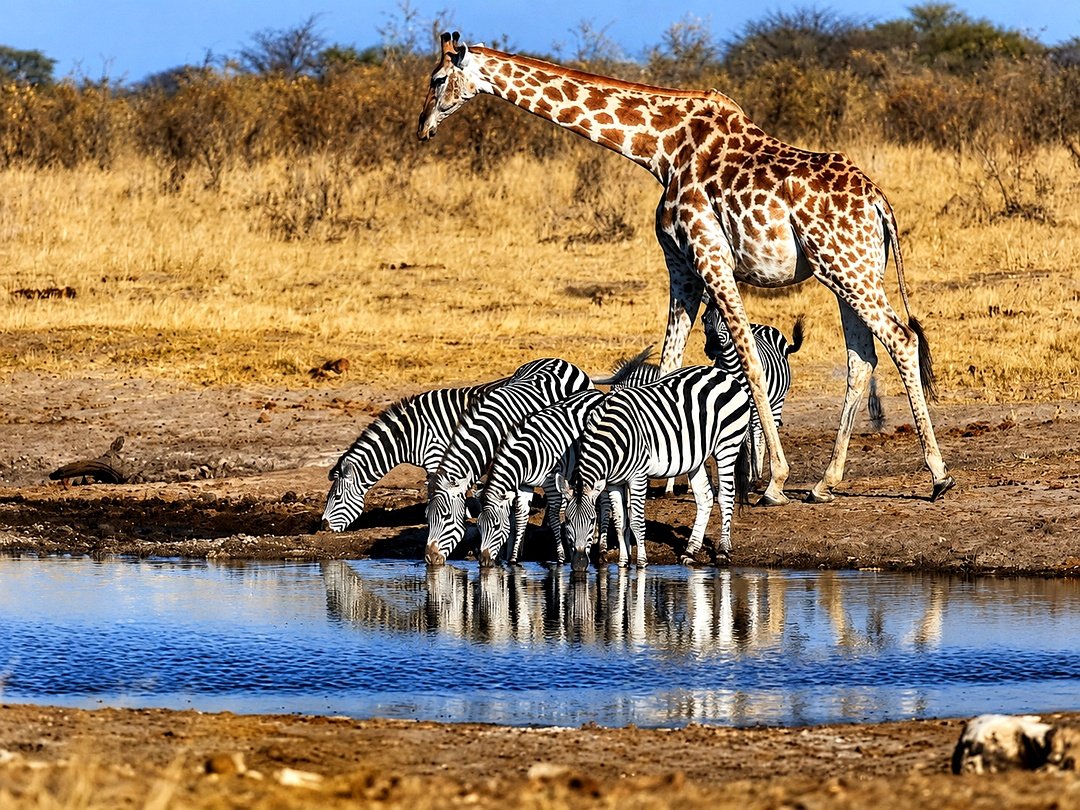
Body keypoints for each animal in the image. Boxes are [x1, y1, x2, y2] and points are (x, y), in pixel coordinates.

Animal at [476, 388, 606, 568]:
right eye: (478, 526)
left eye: (496, 526)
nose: (483, 562)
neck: (526, 456)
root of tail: (596, 392)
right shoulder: (524, 485)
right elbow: (521, 518)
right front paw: (514, 559)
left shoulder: (551, 482)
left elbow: (554, 517)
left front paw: (560, 558)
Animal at [556, 365, 752, 571]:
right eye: (567, 520)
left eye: (593, 520)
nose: (578, 565)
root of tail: (724, 374)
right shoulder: (613, 482)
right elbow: (619, 522)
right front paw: (623, 563)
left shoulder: (638, 476)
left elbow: (636, 522)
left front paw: (641, 562)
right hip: (696, 459)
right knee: (705, 497)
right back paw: (690, 551)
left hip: (728, 445)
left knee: (726, 496)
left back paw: (723, 552)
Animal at [702, 304, 805, 481]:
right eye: (704, 319)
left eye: (724, 321)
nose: (712, 349)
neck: (731, 364)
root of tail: (761, 326)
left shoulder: (753, 405)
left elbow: (751, 436)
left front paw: (751, 471)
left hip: (776, 401)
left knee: (765, 430)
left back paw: (760, 466)